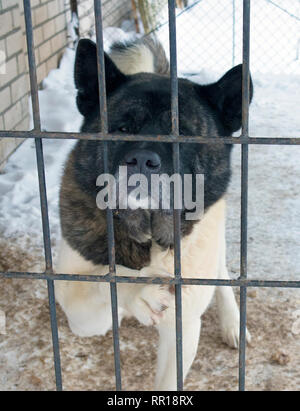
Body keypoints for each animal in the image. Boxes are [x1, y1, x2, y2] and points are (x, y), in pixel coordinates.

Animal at [54, 34, 253, 390]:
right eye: (120, 129)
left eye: (183, 134)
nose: (143, 160)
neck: (148, 236)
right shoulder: (78, 307)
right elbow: (105, 280)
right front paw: (140, 291)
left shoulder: (182, 328)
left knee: (221, 270)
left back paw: (233, 321)